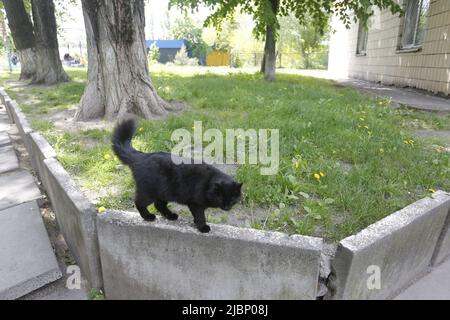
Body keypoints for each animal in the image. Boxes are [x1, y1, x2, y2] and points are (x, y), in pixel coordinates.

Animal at [112, 119, 243, 234]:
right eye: (221, 198)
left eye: (232, 199)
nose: (226, 207)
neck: (208, 184)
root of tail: (142, 156)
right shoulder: (196, 204)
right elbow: (200, 216)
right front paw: (203, 227)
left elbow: (197, 216)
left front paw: (196, 223)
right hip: (148, 192)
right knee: (139, 203)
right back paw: (148, 216)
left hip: (163, 192)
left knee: (158, 204)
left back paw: (171, 216)